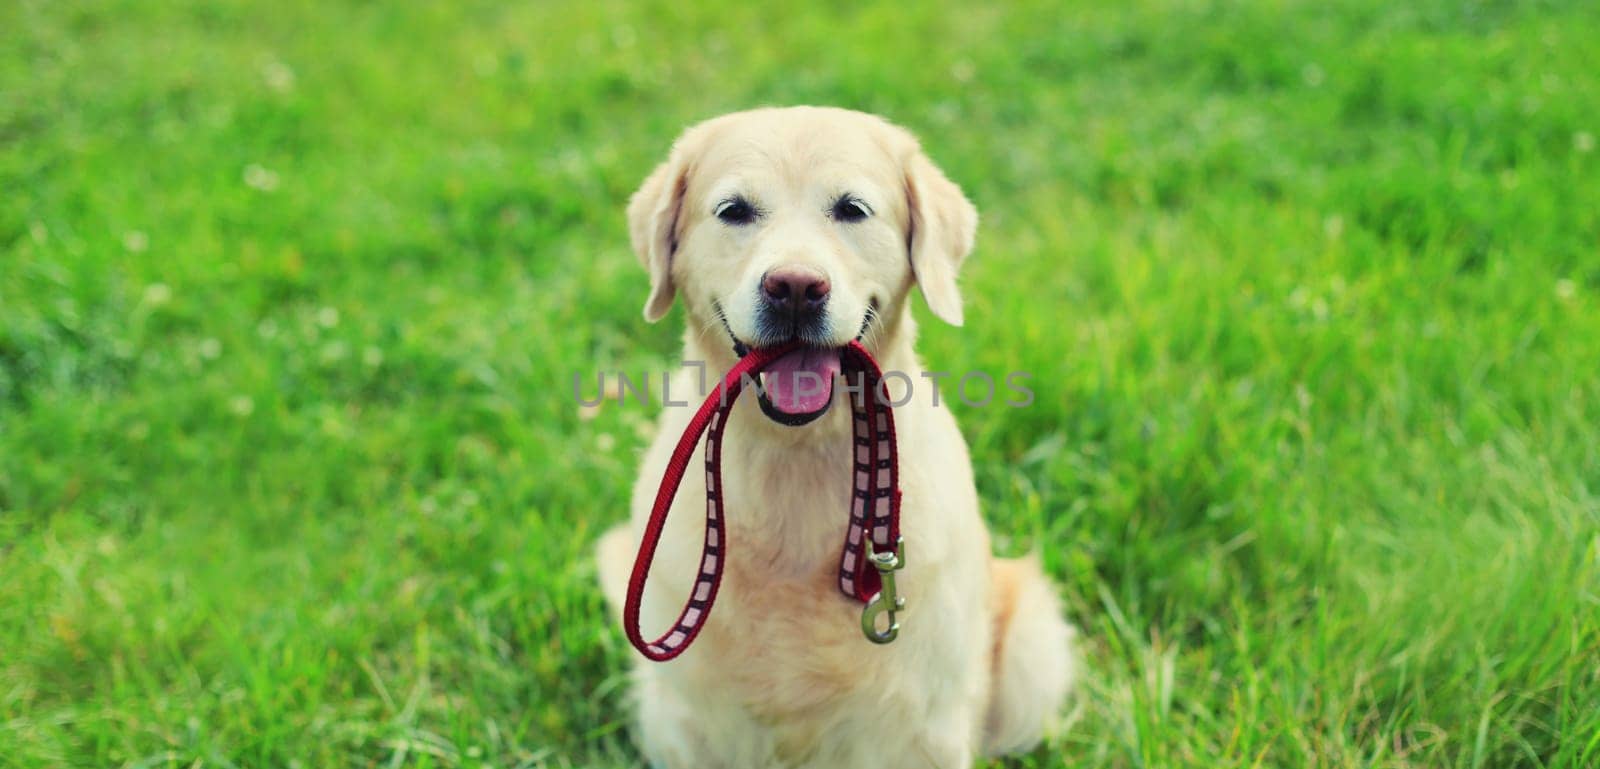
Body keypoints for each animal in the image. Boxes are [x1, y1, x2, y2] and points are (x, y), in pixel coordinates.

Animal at [598, 106, 1075, 767]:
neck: (797, 457)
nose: (796, 287)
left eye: (851, 209)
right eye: (734, 211)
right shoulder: (694, 723)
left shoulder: (920, 723)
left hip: (1031, 646)